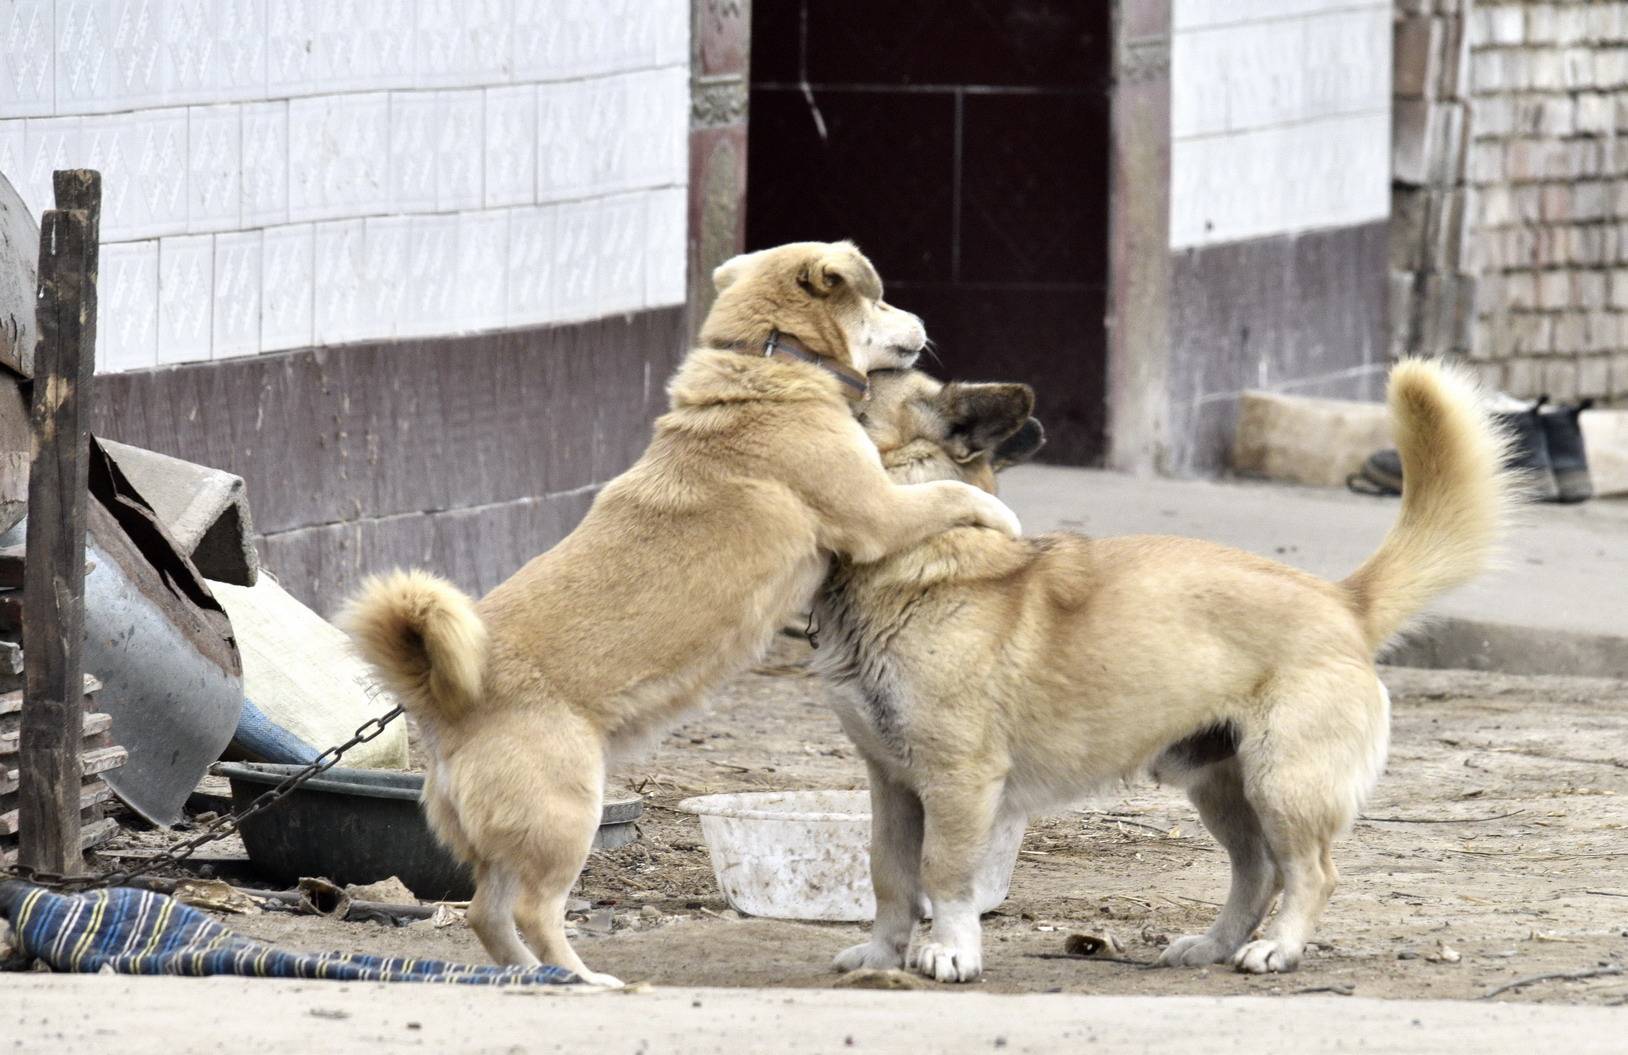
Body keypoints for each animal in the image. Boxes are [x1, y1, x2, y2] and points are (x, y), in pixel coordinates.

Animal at [341, 242, 1015, 983]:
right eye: (881, 297)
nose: (922, 322)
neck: (773, 359)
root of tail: (444, 701)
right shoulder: (878, 513)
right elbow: (954, 495)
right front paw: (1004, 517)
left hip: (512, 839)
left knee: (486, 916)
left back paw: (534, 975)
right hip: (567, 816)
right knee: (533, 913)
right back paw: (583, 978)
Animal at [820, 359, 1517, 983]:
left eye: (861, 383)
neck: (919, 561)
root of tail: (1343, 601)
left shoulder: (958, 782)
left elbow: (942, 874)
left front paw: (951, 952)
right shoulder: (891, 783)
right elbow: (890, 878)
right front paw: (882, 957)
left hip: (1283, 786)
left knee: (1311, 874)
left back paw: (1278, 948)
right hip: (1222, 790)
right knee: (1258, 873)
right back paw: (1214, 945)